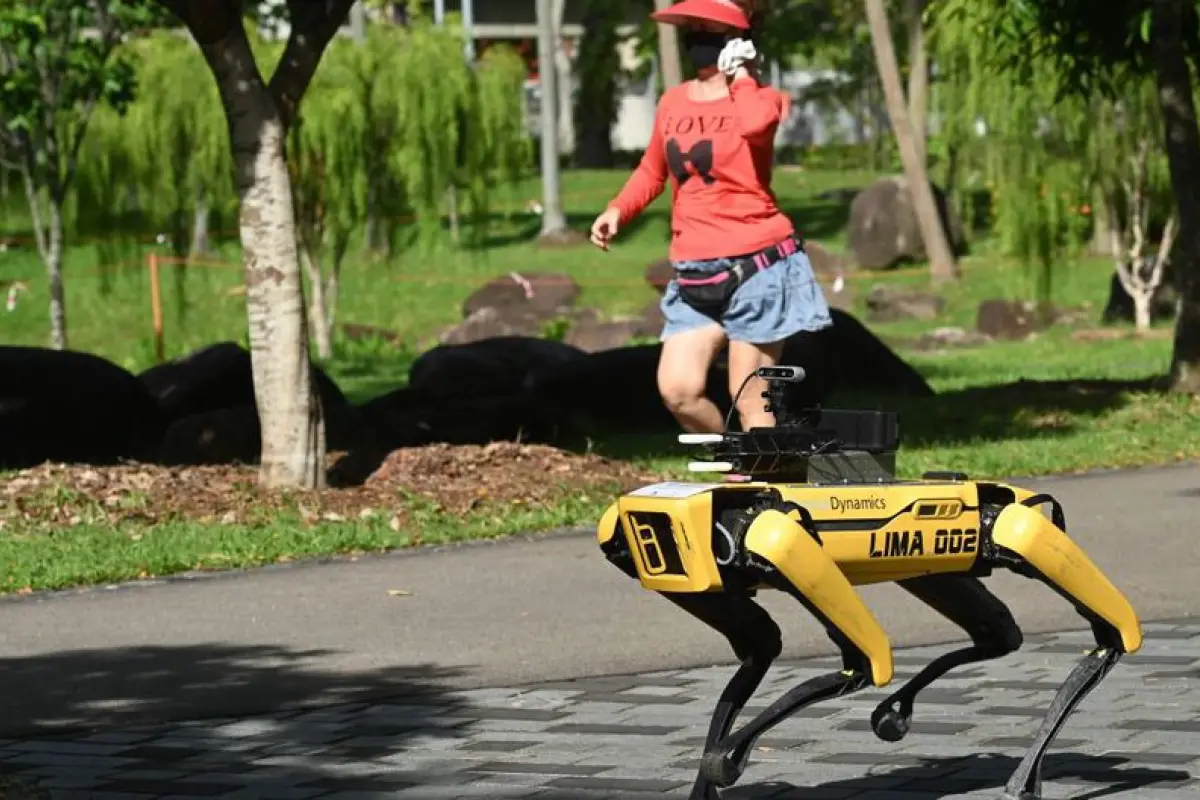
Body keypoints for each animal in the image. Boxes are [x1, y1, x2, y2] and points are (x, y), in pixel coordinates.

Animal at [600, 367, 1142, 800]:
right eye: (644, 535)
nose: (641, 536)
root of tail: (1022, 495)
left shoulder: (777, 535)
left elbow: (863, 663)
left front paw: (726, 757)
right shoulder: (744, 569)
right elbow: (762, 648)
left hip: (1009, 530)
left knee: (1109, 631)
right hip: (943, 571)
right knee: (1000, 634)